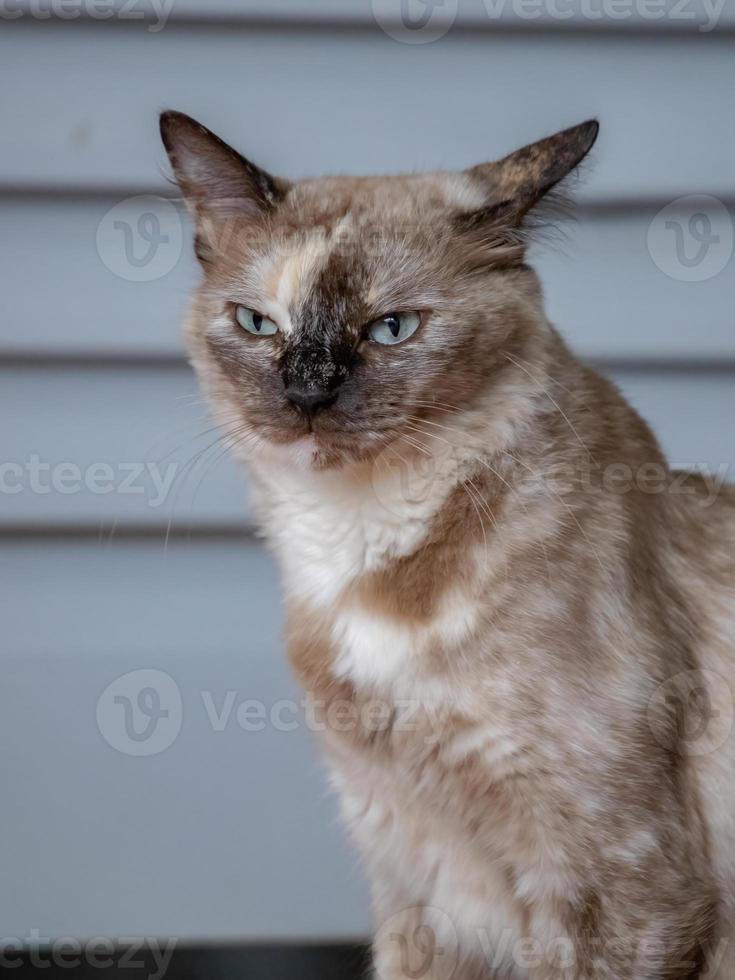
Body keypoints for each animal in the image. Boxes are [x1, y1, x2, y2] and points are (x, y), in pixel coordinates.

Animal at [161, 111, 735, 976]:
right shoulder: (419, 884)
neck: (354, 548)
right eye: (258, 323)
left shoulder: (628, 891)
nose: (305, 394)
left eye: (391, 329)